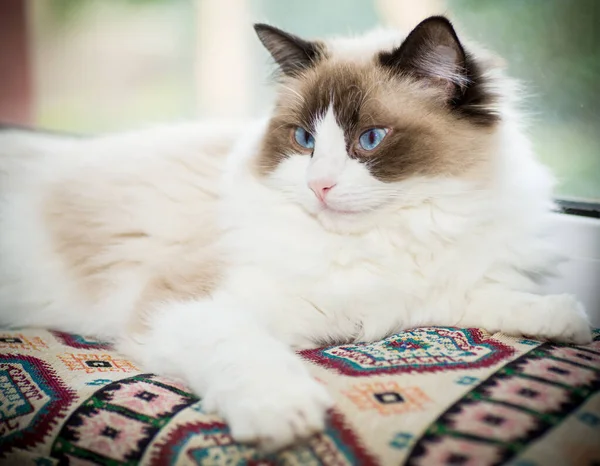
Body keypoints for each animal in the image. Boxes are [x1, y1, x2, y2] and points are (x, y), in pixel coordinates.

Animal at [0, 16, 592, 450]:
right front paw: (283, 414)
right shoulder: (188, 307)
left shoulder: (423, 289)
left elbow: (481, 295)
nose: (319, 186)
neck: (388, 234)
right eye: (304, 139)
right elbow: (247, 354)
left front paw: (567, 322)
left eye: (369, 139)